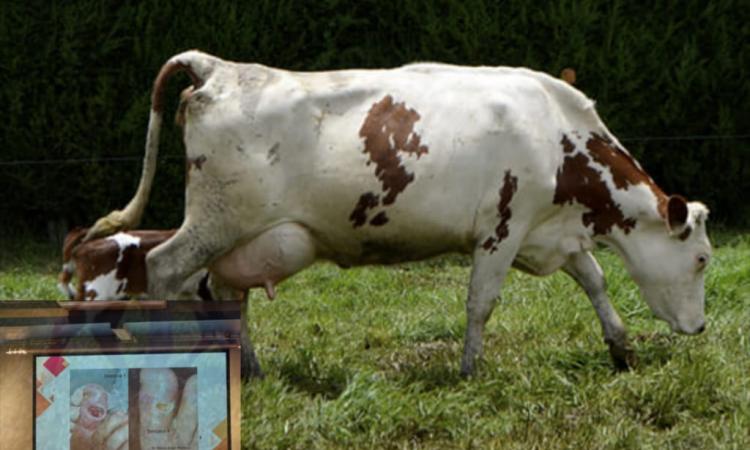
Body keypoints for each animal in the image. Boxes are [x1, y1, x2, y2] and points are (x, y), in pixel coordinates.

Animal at [85, 50, 712, 378]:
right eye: (703, 258)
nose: (701, 327)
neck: (556, 134)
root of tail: (217, 66)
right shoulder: (503, 228)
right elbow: (481, 302)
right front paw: (469, 369)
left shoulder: (547, 232)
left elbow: (595, 280)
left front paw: (621, 347)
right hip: (215, 222)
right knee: (166, 270)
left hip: (239, 237)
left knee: (217, 292)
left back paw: (249, 368)